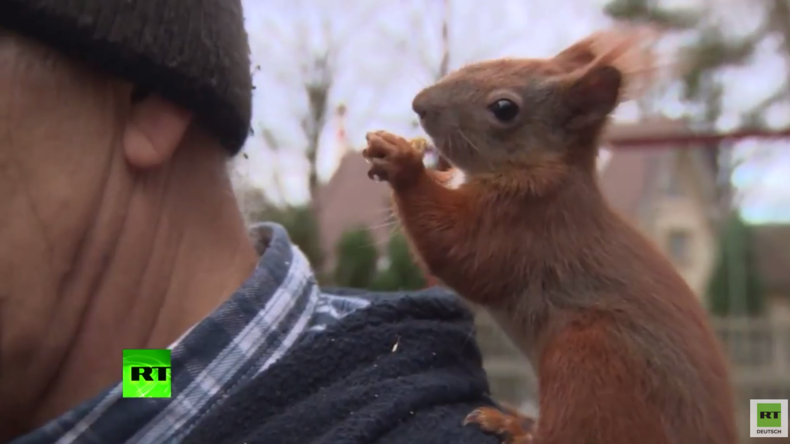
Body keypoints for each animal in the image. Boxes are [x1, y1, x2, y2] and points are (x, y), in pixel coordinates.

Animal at [362, 27, 740, 444]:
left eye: (504, 108)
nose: (419, 105)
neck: (543, 170)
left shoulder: (526, 223)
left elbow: (459, 249)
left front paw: (404, 164)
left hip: (588, 361)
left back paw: (512, 426)